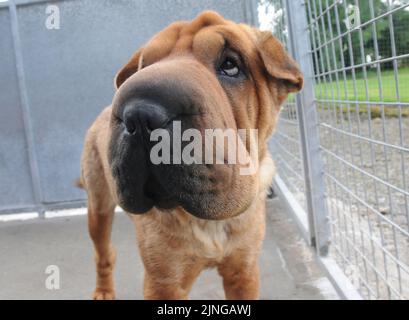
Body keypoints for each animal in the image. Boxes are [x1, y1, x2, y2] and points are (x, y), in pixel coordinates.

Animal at [78, 10, 302, 300]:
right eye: (144, 65)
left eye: (230, 65)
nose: (139, 113)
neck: (208, 224)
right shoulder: (163, 282)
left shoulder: (244, 271)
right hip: (98, 209)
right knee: (103, 254)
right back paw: (103, 290)